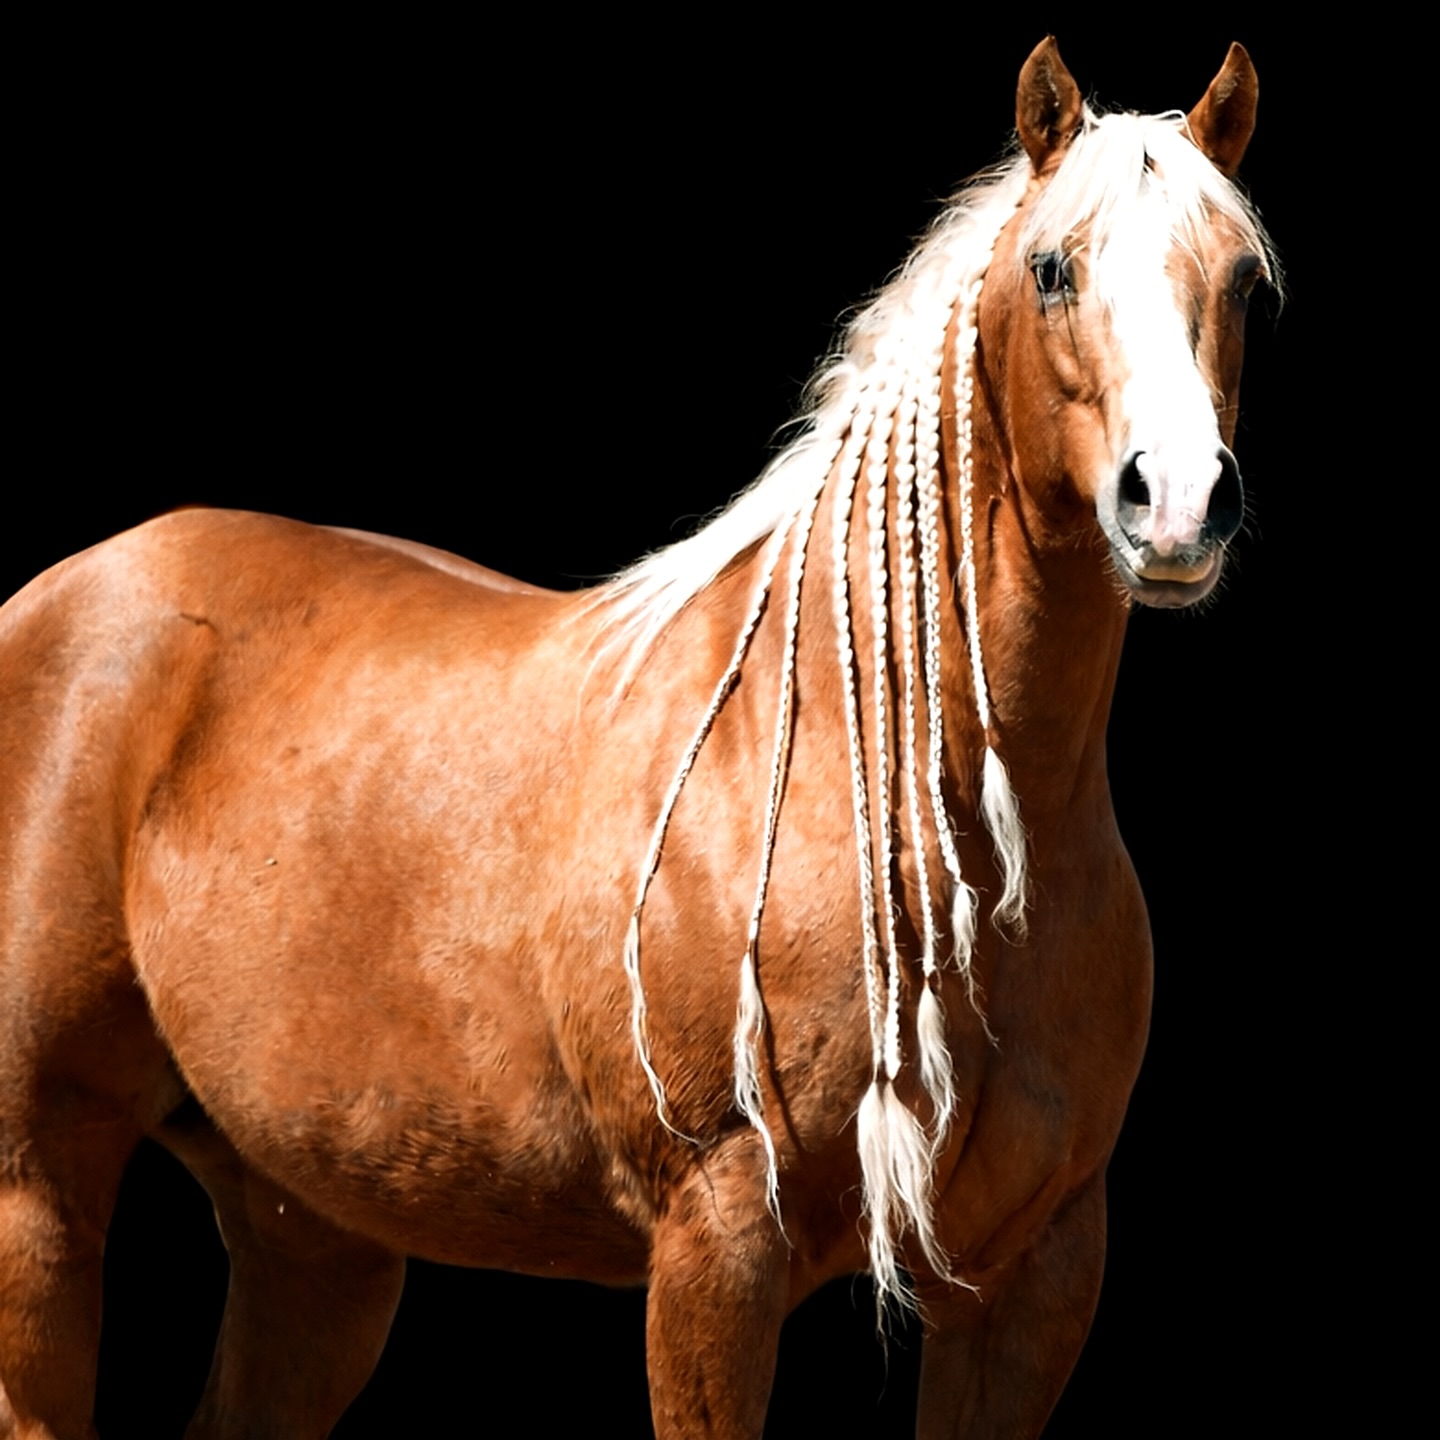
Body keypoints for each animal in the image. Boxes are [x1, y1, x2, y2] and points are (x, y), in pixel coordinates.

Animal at [0, 37, 1273, 1439]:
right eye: (1053, 268)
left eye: (1241, 281)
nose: (1178, 504)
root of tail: (57, 597)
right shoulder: (718, 1246)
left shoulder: (1035, 1284)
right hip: (38, 1193)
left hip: (312, 1235)